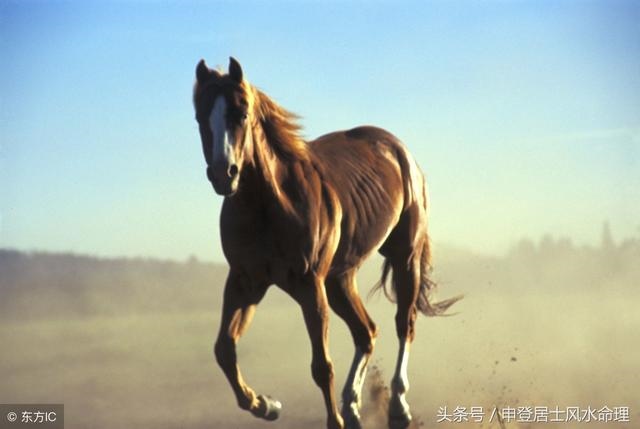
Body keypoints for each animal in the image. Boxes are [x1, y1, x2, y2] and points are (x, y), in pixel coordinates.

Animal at [193, 57, 461, 429]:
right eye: (201, 116)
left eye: (241, 112)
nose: (224, 174)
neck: (270, 205)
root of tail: (398, 150)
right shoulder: (246, 282)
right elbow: (224, 350)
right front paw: (267, 405)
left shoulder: (309, 285)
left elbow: (322, 366)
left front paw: (329, 418)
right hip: (339, 279)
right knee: (367, 332)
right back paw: (352, 407)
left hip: (402, 258)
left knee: (403, 324)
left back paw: (397, 408)